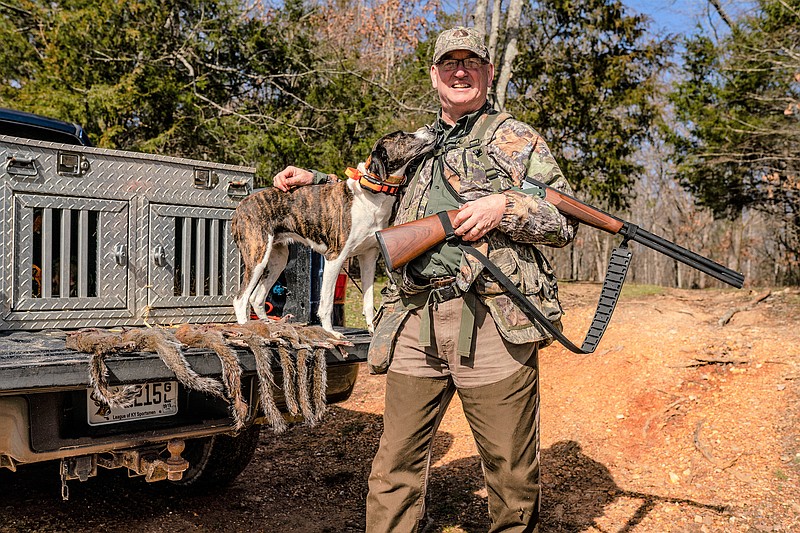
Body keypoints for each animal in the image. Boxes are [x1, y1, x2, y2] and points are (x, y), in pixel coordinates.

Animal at [231, 126, 434, 330]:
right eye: (401, 136)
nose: (430, 128)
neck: (371, 192)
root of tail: (240, 207)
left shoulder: (368, 257)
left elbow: (368, 303)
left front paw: (372, 330)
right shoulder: (335, 258)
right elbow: (326, 303)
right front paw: (331, 332)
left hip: (278, 259)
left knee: (256, 298)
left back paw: (266, 325)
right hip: (258, 256)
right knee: (240, 299)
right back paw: (245, 326)